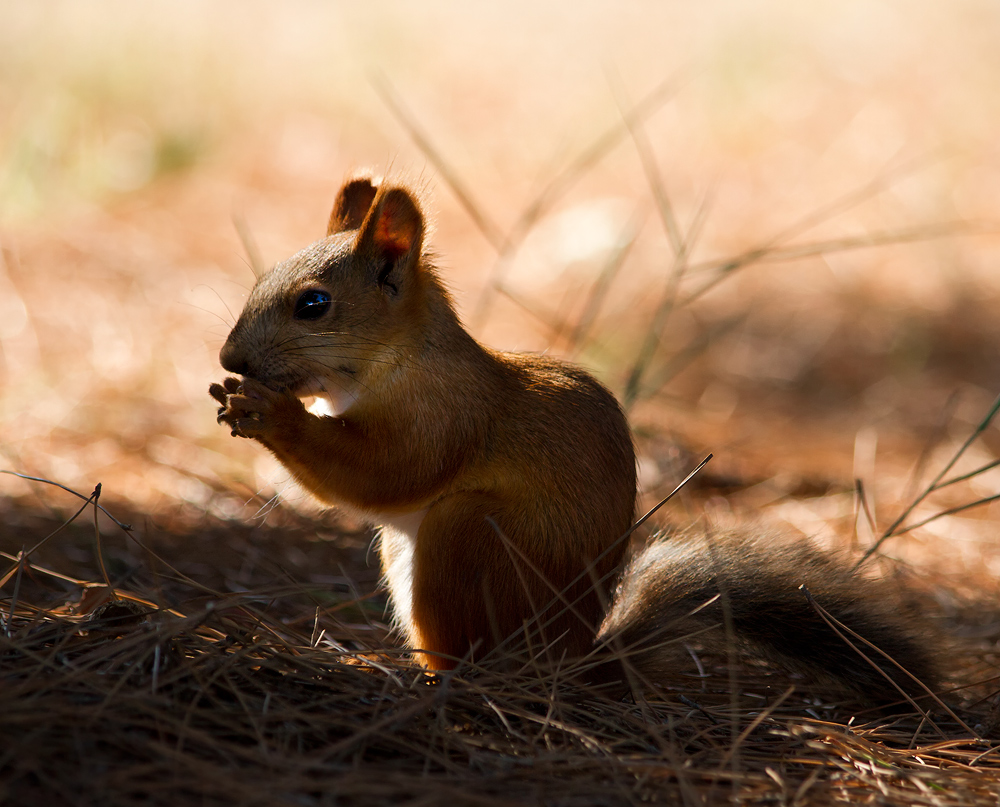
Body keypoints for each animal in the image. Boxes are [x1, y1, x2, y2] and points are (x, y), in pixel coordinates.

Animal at [211, 175, 936, 708]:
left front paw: (273, 413)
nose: (230, 358)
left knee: (472, 652)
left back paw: (435, 679)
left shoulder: (444, 415)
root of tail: (569, 658)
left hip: (466, 536)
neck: (395, 362)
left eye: (313, 304)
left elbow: (387, 473)